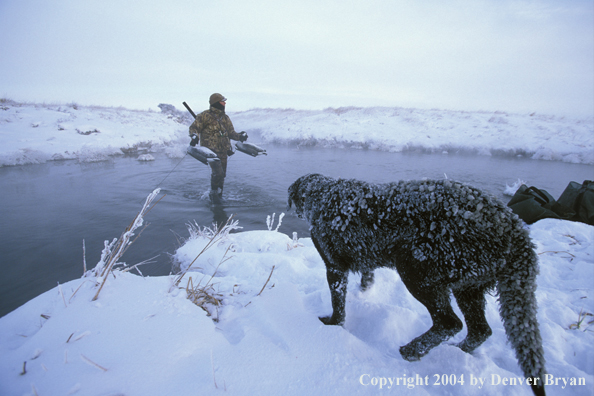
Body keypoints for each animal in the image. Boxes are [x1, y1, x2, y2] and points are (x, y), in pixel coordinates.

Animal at [290, 173, 544, 396]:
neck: (322, 193)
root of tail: (513, 226)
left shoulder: (334, 267)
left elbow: (338, 303)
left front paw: (332, 324)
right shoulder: (365, 261)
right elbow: (366, 279)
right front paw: (363, 293)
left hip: (416, 270)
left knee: (449, 322)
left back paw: (412, 350)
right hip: (467, 287)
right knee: (480, 330)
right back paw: (456, 351)